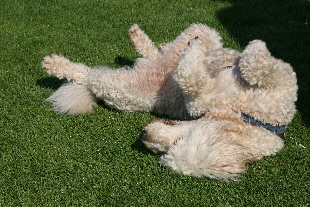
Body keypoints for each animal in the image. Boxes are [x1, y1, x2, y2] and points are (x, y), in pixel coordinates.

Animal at [41, 23, 298, 180]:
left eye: (171, 148)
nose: (143, 135)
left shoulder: (196, 102)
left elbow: (189, 78)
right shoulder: (282, 82)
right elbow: (261, 65)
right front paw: (255, 47)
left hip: (122, 88)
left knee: (90, 75)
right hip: (205, 34)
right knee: (186, 42)